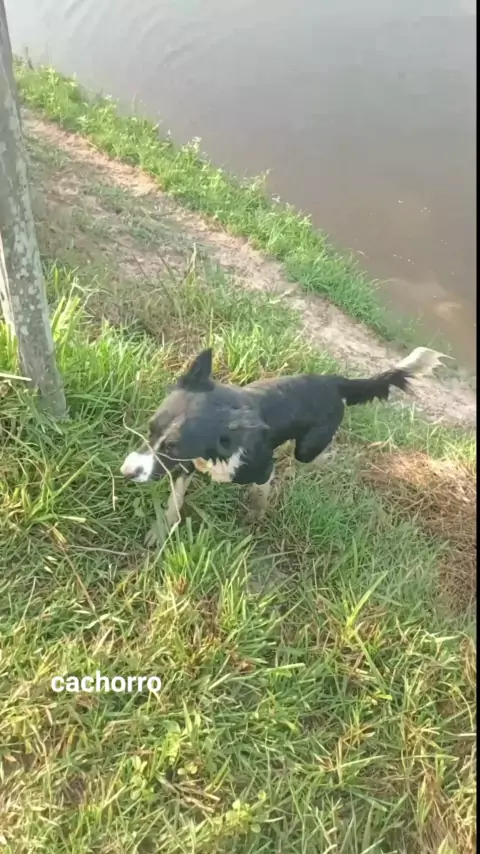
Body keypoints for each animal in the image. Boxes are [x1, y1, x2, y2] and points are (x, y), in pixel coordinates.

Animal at [120, 346, 448, 545]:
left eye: (173, 447)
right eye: (150, 429)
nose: (126, 472)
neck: (225, 442)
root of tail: (334, 381)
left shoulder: (262, 469)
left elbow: (260, 497)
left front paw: (254, 519)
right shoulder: (186, 467)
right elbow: (174, 502)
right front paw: (160, 531)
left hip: (309, 447)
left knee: (312, 455)